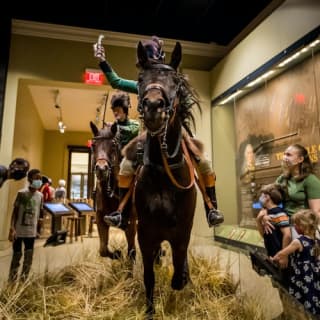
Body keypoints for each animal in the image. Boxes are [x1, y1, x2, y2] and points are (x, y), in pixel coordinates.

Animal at [89, 121, 137, 262]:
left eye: (113, 145)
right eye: (93, 145)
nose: (101, 169)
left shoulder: (131, 223)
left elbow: (132, 251)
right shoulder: (100, 219)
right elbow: (103, 250)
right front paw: (117, 254)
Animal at [124, 41, 199, 316]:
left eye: (175, 80)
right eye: (140, 79)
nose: (154, 106)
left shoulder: (182, 233)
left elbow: (178, 269)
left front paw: (182, 278)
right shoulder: (146, 234)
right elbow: (149, 276)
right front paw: (149, 310)